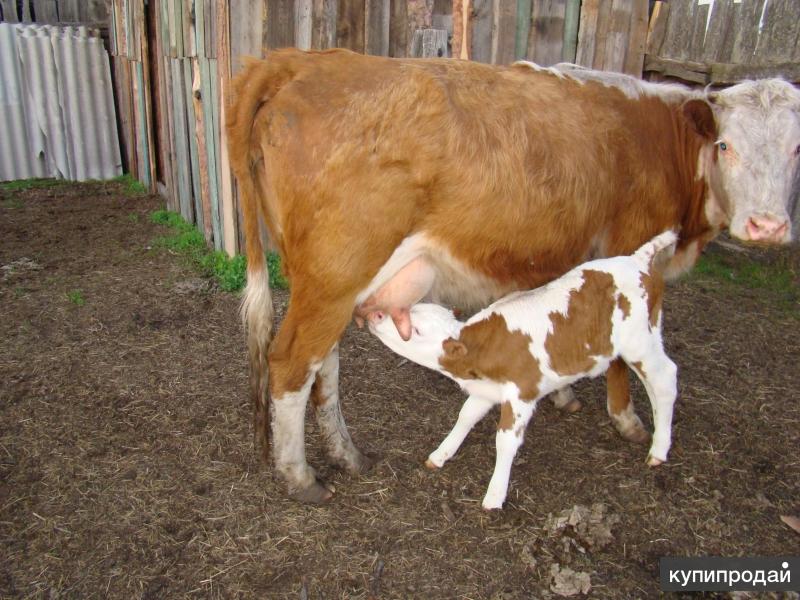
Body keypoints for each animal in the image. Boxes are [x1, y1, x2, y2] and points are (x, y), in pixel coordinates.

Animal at [368, 232, 676, 508]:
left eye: (417, 330)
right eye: (413, 310)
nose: (377, 314)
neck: (484, 349)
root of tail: (637, 258)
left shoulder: (522, 394)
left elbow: (505, 441)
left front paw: (494, 496)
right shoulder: (487, 391)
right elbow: (465, 416)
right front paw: (442, 453)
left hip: (639, 343)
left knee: (665, 379)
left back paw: (659, 449)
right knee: (655, 384)